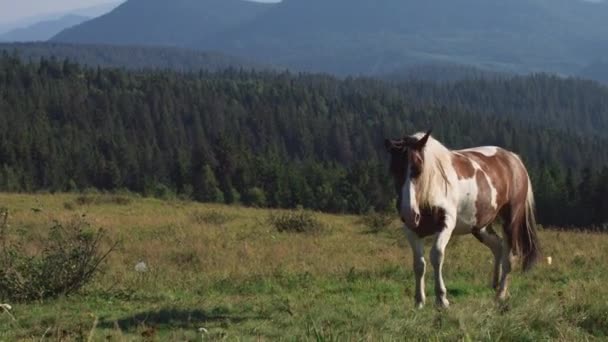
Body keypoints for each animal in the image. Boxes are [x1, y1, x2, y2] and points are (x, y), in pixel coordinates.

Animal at [388, 131, 540, 308]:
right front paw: (419, 301)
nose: (409, 213)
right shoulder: (412, 230)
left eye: (418, 169)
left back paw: (501, 294)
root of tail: (514, 159)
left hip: (510, 220)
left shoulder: (446, 225)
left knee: (510, 255)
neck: (432, 186)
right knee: (498, 246)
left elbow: (436, 256)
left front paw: (442, 299)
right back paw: (495, 285)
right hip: (480, 226)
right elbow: (419, 264)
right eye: (394, 170)